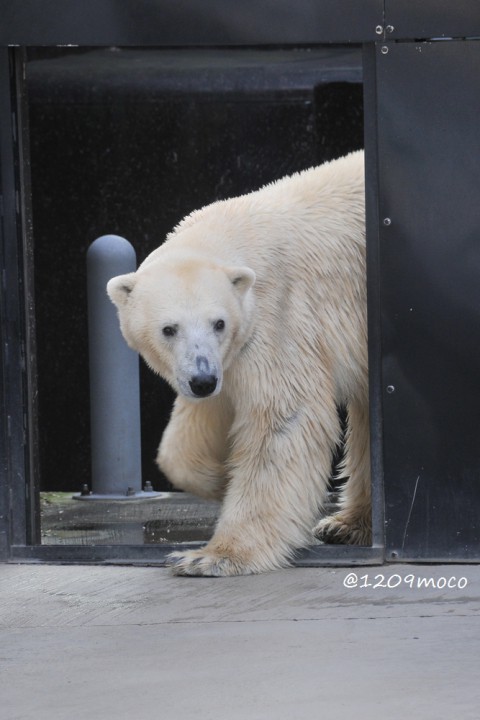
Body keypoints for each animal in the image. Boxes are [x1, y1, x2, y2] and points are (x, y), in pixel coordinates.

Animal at [108, 149, 372, 576]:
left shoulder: (277, 315)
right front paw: (218, 479)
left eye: (219, 322)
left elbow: (282, 419)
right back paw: (346, 524)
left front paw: (210, 556)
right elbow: (193, 430)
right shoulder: (227, 360)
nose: (202, 381)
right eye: (169, 329)